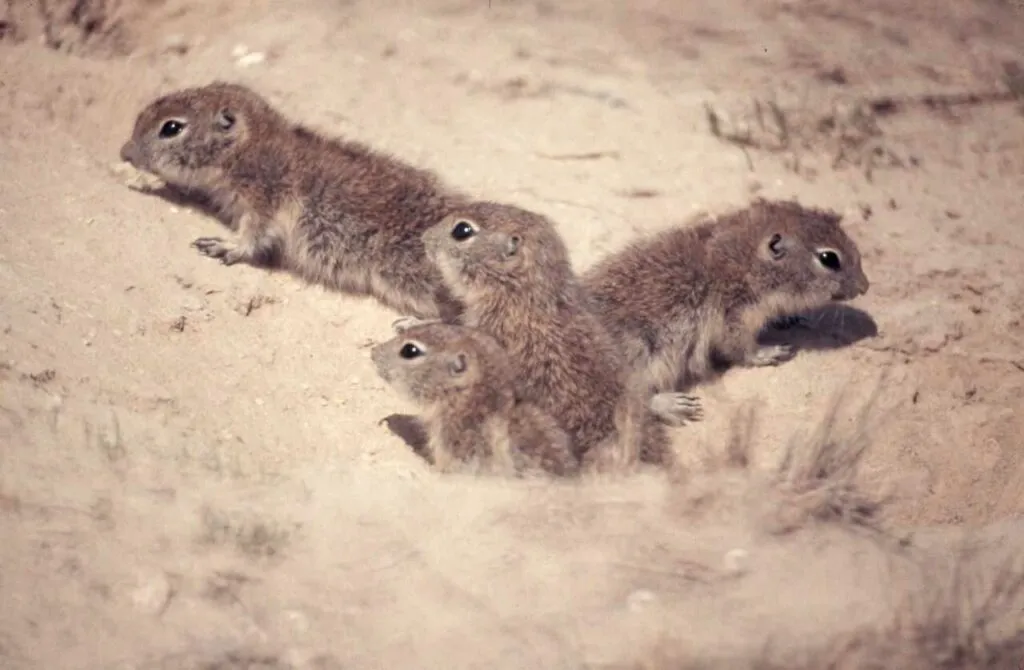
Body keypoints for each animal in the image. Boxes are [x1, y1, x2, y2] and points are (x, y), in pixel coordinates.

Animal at [119, 81, 468, 323]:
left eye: (171, 127)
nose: (124, 153)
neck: (253, 147)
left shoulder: (264, 202)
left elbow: (252, 237)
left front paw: (226, 246)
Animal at [581, 196, 868, 395]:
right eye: (829, 258)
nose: (865, 286)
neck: (742, 262)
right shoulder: (733, 319)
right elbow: (741, 349)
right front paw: (768, 353)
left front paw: (788, 318)